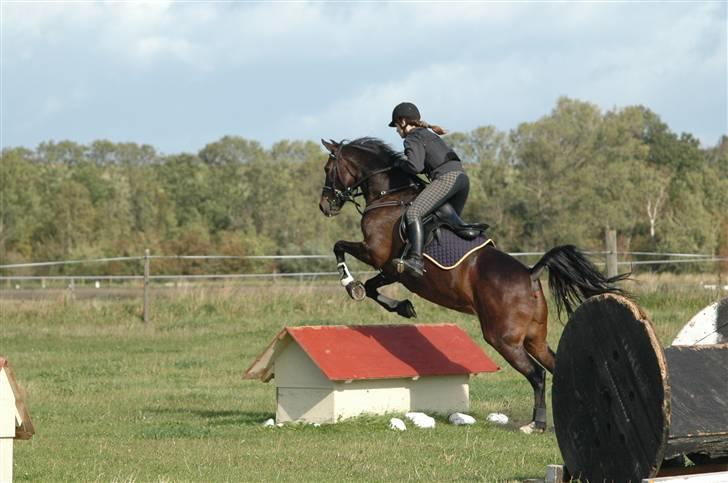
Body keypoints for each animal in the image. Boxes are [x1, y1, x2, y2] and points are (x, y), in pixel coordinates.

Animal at [318, 137, 624, 434]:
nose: (324, 205)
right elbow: (371, 288)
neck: (389, 197)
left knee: (537, 374)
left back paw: (536, 423)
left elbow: (339, 247)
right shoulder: (393, 270)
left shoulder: (376, 254)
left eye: (327, 169)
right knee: (555, 366)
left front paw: (350, 284)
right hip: (534, 338)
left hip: (502, 338)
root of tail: (530, 273)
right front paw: (401, 306)